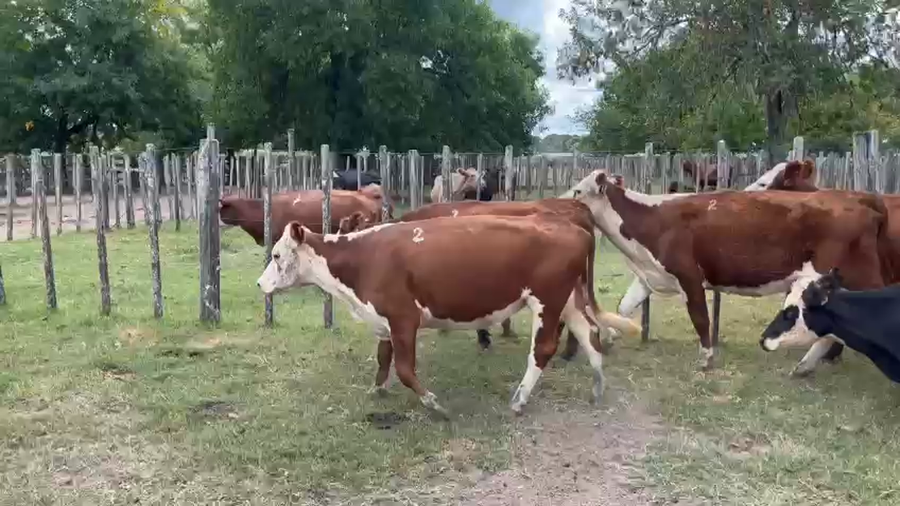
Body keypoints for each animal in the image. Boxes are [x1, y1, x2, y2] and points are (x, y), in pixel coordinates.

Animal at [562, 170, 890, 373]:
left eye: (578, 190)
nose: (560, 203)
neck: (653, 218)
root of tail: (860, 198)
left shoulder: (689, 276)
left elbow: (700, 318)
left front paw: (706, 359)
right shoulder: (650, 276)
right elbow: (624, 307)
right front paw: (609, 336)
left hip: (856, 275)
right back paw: (806, 366)